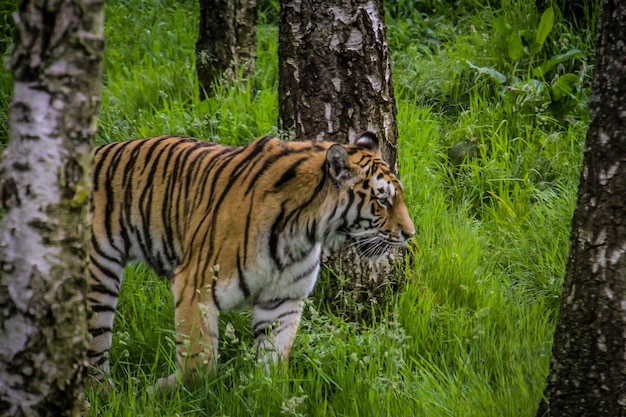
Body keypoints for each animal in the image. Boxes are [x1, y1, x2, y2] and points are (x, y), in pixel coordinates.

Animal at [85, 131, 412, 386]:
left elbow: (273, 361)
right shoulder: (195, 288)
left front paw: (265, 394)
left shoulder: (283, 300)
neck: (303, 232)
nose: (410, 233)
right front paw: (167, 390)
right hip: (98, 279)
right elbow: (199, 364)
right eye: (383, 200)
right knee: (93, 346)